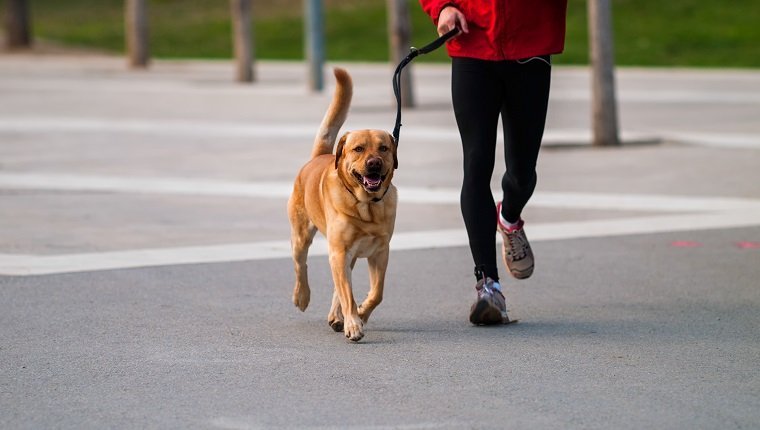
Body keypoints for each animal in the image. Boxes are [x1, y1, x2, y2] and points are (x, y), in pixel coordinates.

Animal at [288, 68, 400, 342]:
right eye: (358, 149)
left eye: (383, 148)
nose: (373, 163)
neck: (366, 205)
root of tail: (319, 156)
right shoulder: (339, 251)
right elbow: (347, 293)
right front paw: (354, 324)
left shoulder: (380, 252)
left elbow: (376, 293)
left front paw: (361, 313)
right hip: (302, 237)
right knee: (301, 266)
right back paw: (302, 296)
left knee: (339, 286)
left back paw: (338, 317)